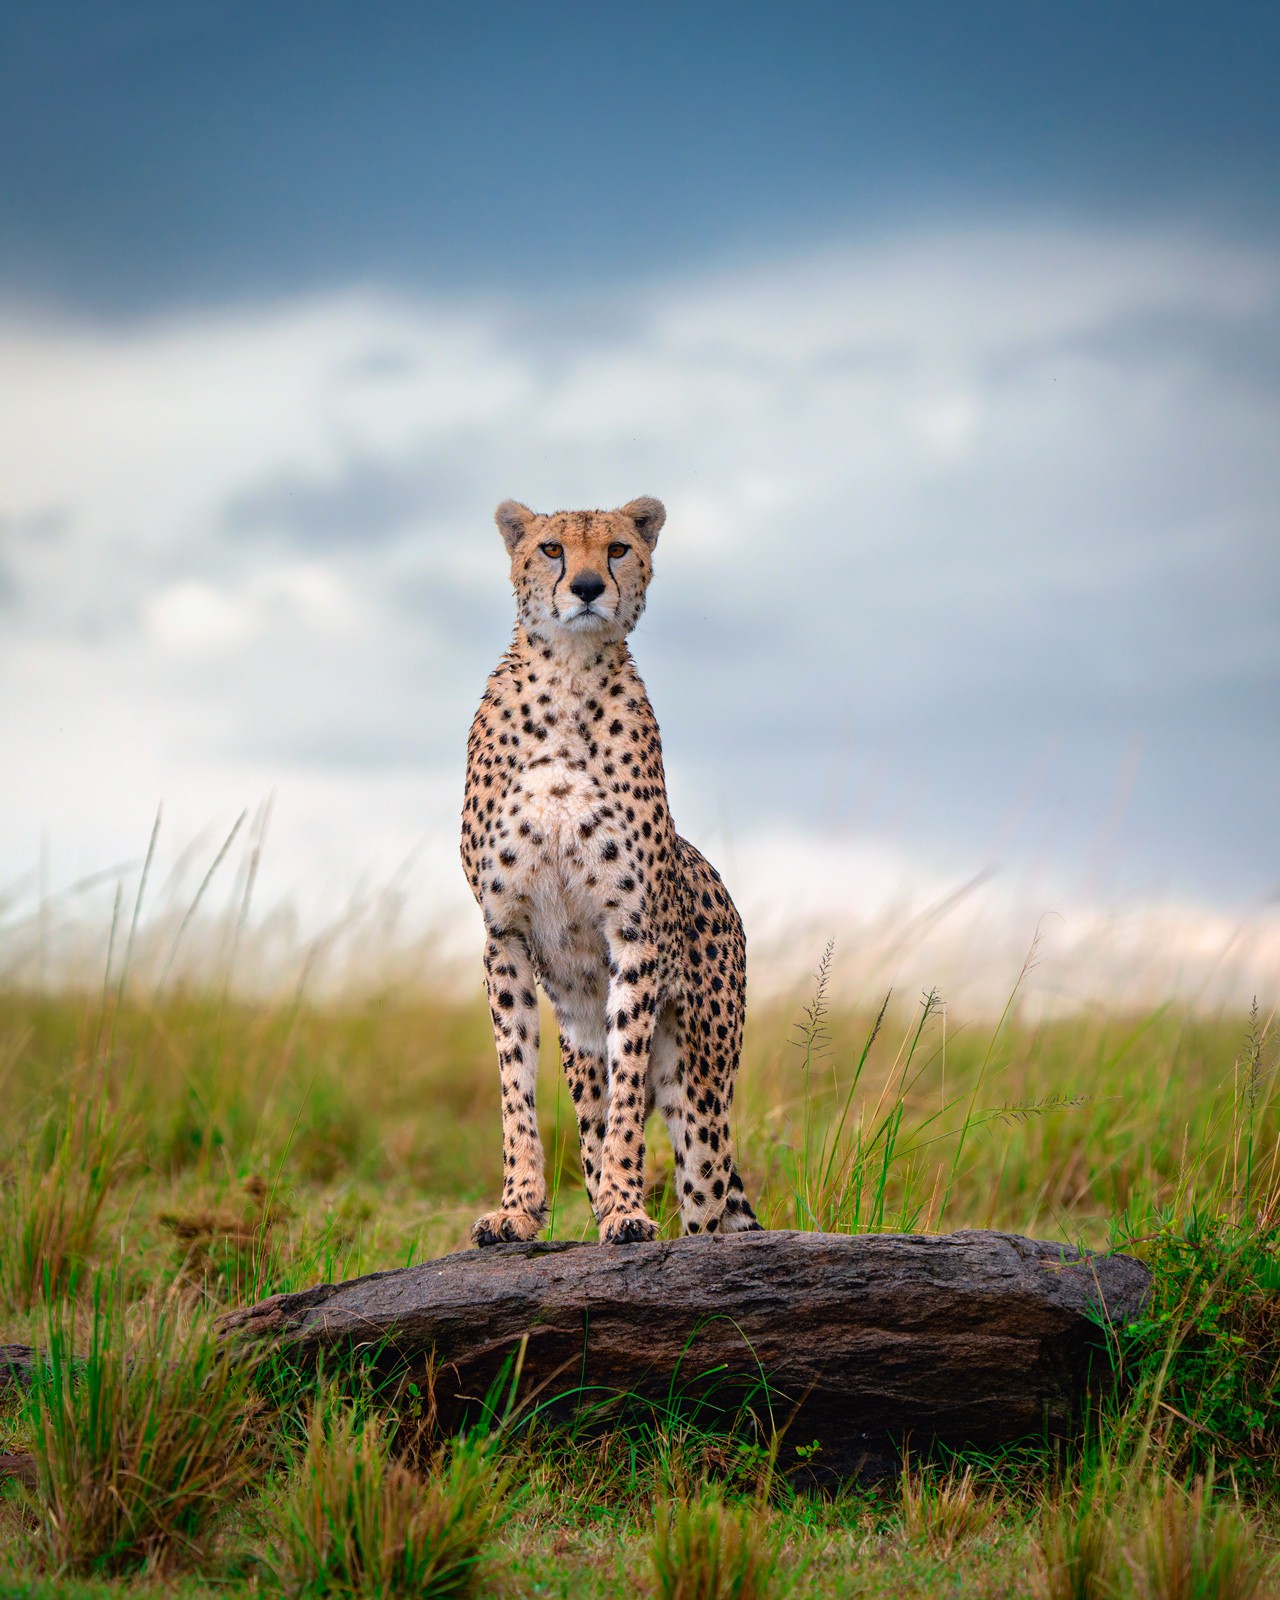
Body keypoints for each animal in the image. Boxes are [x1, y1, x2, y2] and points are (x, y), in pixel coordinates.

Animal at [461, 495, 761, 1246]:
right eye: (551, 549)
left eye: (619, 548)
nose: (590, 586)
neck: (568, 678)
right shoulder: (505, 934)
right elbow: (515, 1088)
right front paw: (518, 1208)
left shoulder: (634, 932)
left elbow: (626, 1096)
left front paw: (627, 1209)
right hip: (579, 1047)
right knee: (588, 1119)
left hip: (703, 1083)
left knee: (705, 1195)